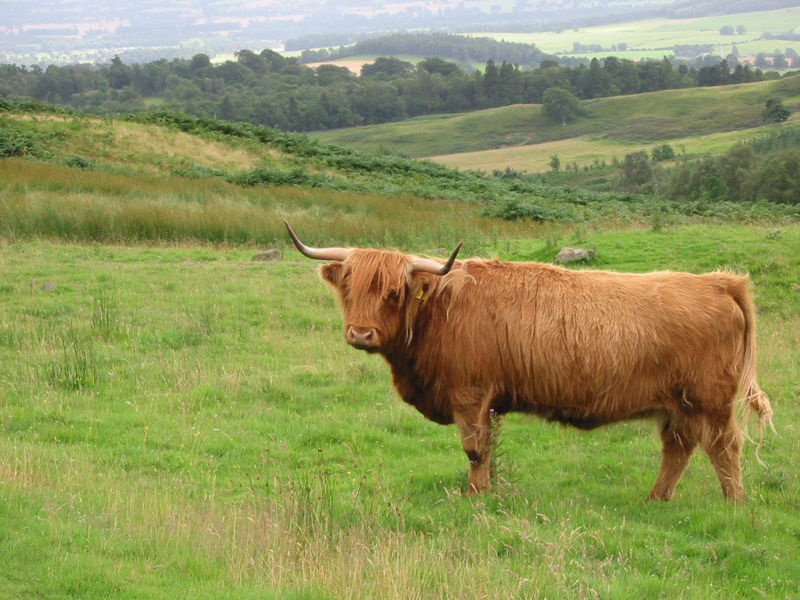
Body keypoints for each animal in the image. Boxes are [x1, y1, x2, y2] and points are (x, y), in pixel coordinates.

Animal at [285, 222, 774, 502]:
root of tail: (719, 282)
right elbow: (489, 450)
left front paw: (476, 498)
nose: (360, 333)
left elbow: (475, 449)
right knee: (679, 448)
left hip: (709, 400)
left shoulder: (469, 396)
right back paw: (657, 498)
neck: (439, 311)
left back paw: (734, 503)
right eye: (348, 286)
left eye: (393, 291)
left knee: (725, 447)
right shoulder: (489, 401)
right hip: (677, 405)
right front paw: (488, 491)